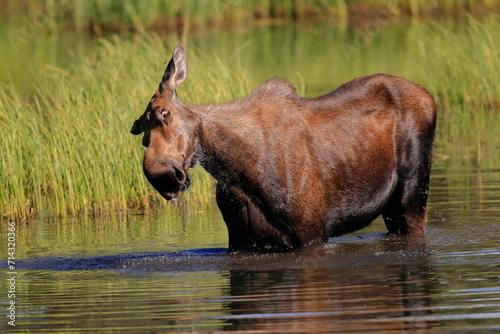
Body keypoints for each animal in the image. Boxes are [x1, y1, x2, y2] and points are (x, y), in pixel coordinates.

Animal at [131, 45, 436, 253]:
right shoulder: (240, 240)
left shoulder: (312, 232)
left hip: (414, 191)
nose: (162, 175)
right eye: (140, 130)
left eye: (165, 113)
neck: (237, 172)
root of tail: (428, 94)